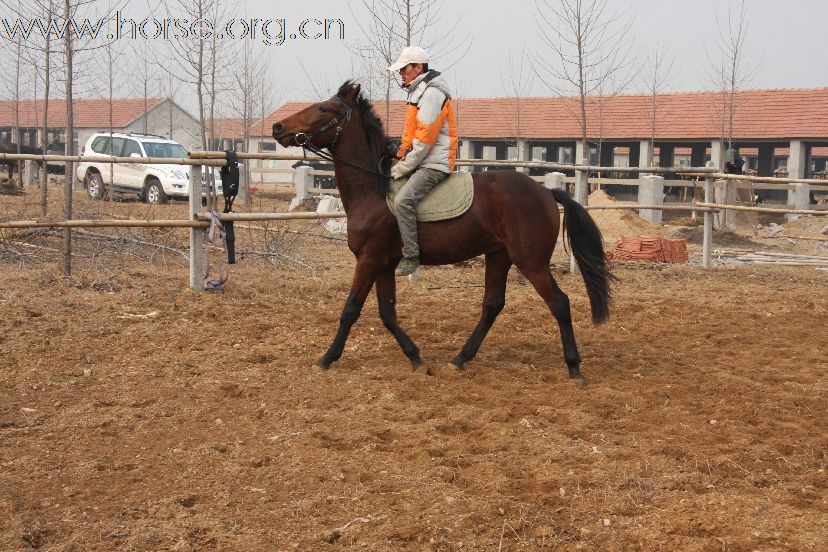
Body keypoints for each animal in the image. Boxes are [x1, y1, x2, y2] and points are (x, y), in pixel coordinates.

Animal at [274, 82, 616, 382]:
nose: (278, 128)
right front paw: (417, 359)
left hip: (531, 262)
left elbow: (350, 309)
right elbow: (387, 312)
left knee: (559, 303)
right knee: (493, 305)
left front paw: (326, 358)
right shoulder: (384, 264)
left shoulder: (369, 260)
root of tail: (546, 192)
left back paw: (574, 368)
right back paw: (460, 359)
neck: (373, 188)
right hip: (498, 256)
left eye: (323, 108)